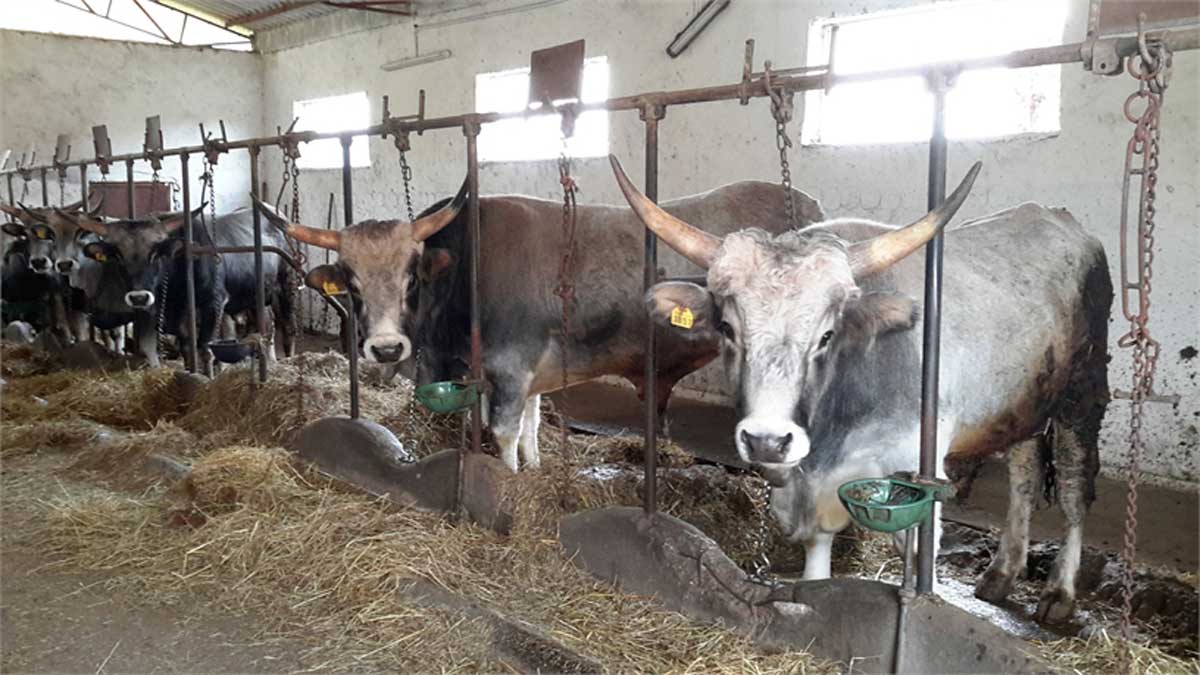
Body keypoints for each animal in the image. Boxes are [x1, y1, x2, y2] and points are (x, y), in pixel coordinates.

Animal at [63, 205, 296, 370]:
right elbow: (187, 350)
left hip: (286, 288)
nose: (139, 298)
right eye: (118, 256)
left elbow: (204, 349)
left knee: (287, 328)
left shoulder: (214, 304)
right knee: (267, 326)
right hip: (257, 296)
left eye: (155, 253)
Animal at [255, 179, 822, 472]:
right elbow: (530, 422)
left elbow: (502, 431)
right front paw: (533, 467)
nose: (388, 348)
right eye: (350, 278)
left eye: (411, 275)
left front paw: (506, 480)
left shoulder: (509, 368)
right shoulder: (529, 374)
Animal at [612, 155, 1111, 624]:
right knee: (1025, 475)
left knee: (1072, 485)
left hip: (1082, 394)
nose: (767, 441)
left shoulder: (916, 470)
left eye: (827, 335)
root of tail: (1059, 219)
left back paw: (1059, 593)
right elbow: (817, 551)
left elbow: (916, 548)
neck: (830, 439)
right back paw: (1002, 573)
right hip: (1025, 402)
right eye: (728, 329)